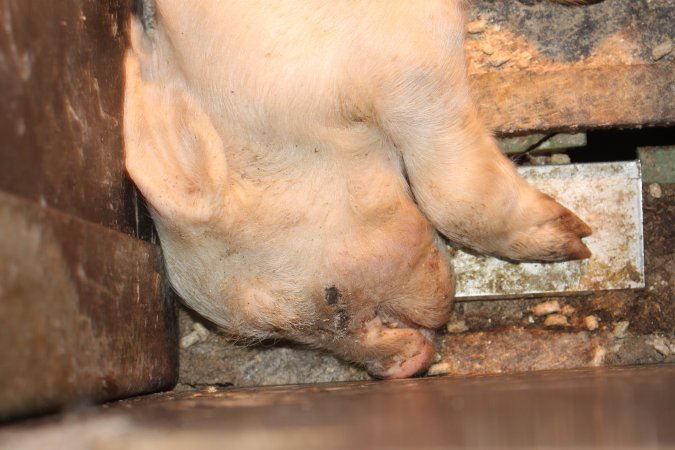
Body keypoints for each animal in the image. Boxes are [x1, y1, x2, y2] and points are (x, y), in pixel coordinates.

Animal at [123, 0, 592, 380]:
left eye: (332, 297)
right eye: (277, 337)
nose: (406, 367)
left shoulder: (408, 63)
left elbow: (450, 195)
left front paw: (577, 241)